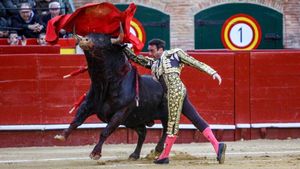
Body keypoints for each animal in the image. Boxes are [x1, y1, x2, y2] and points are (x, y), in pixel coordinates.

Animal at [55, 33, 205, 160]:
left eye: (103, 40)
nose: (84, 40)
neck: (105, 83)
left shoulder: (120, 113)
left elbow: (105, 131)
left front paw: (95, 153)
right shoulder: (87, 106)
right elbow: (76, 120)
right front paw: (62, 136)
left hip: (165, 114)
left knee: (167, 130)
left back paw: (158, 150)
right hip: (134, 119)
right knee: (143, 133)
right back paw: (135, 154)